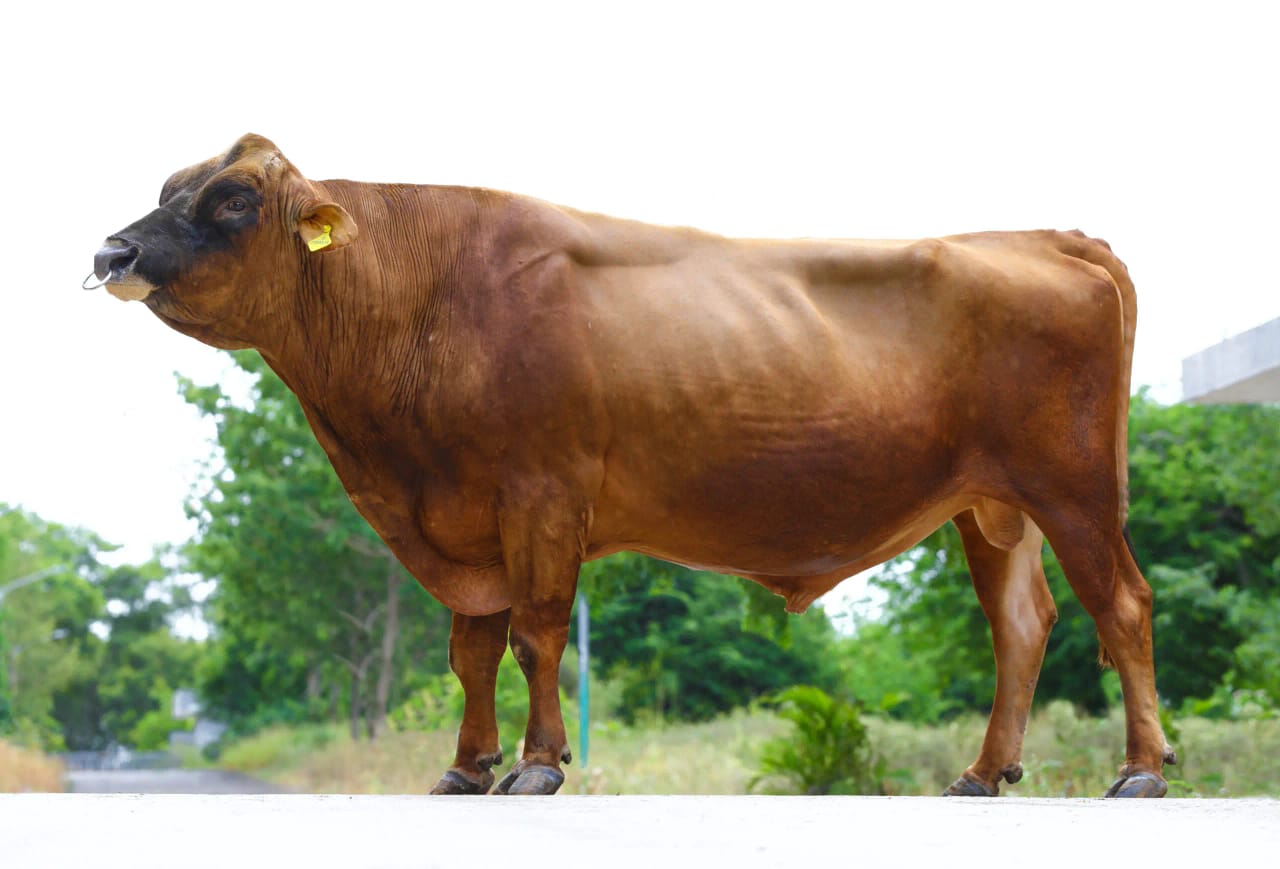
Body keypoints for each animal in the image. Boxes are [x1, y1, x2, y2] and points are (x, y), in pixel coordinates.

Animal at [89, 134, 1173, 797]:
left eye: (231, 199)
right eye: (163, 192)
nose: (112, 252)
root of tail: (1045, 236)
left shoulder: (539, 493)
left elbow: (535, 635)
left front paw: (536, 763)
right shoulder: (464, 515)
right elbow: (470, 651)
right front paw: (464, 765)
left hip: (1073, 486)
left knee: (1119, 604)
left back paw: (1141, 769)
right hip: (991, 506)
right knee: (1020, 626)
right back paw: (983, 771)